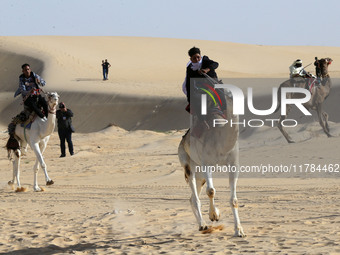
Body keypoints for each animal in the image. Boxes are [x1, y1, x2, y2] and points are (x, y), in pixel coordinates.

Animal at [178, 87, 244, 237]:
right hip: (187, 162)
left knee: (192, 196)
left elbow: (234, 200)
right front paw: (214, 215)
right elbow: (211, 191)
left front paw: (239, 230)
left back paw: (202, 224)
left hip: (200, 175)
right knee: (195, 196)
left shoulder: (233, 165)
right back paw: (202, 225)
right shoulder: (206, 163)